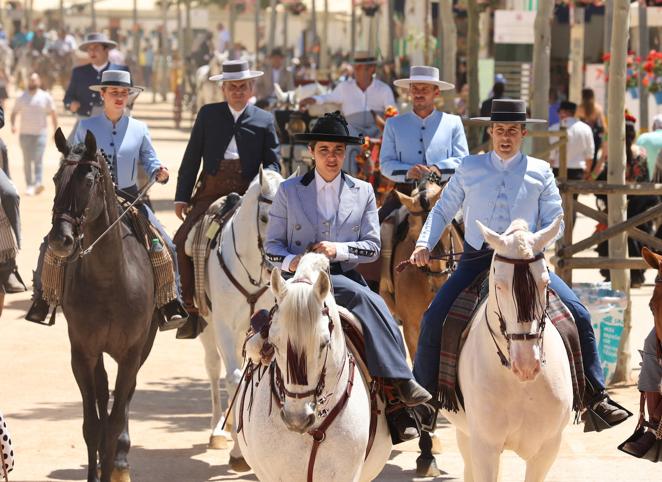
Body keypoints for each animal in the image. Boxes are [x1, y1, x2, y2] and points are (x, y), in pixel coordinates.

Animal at [48, 128, 160, 482]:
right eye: (55, 178)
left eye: (87, 181)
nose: (60, 239)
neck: (110, 281)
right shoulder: (82, 353)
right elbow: (92, 426)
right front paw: (96, 471)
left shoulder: (131, 354)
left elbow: (113, 422)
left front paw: (114, 464)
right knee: (101, 395)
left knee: (123, 401)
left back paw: (120, 461)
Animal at [193, 167, 284, 466]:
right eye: (266, 217)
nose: (273, 266)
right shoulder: (223, 326)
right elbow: (232, 376)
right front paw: (237, 452)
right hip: (208, 327)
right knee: (213, 367)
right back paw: (218, 429)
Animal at [444, 218, 580, 482]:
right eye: (499, 286)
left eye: (546, 283)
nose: (526, 364)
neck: (519, 385)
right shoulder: (484, 447)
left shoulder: (547, 448)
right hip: (466, 436)